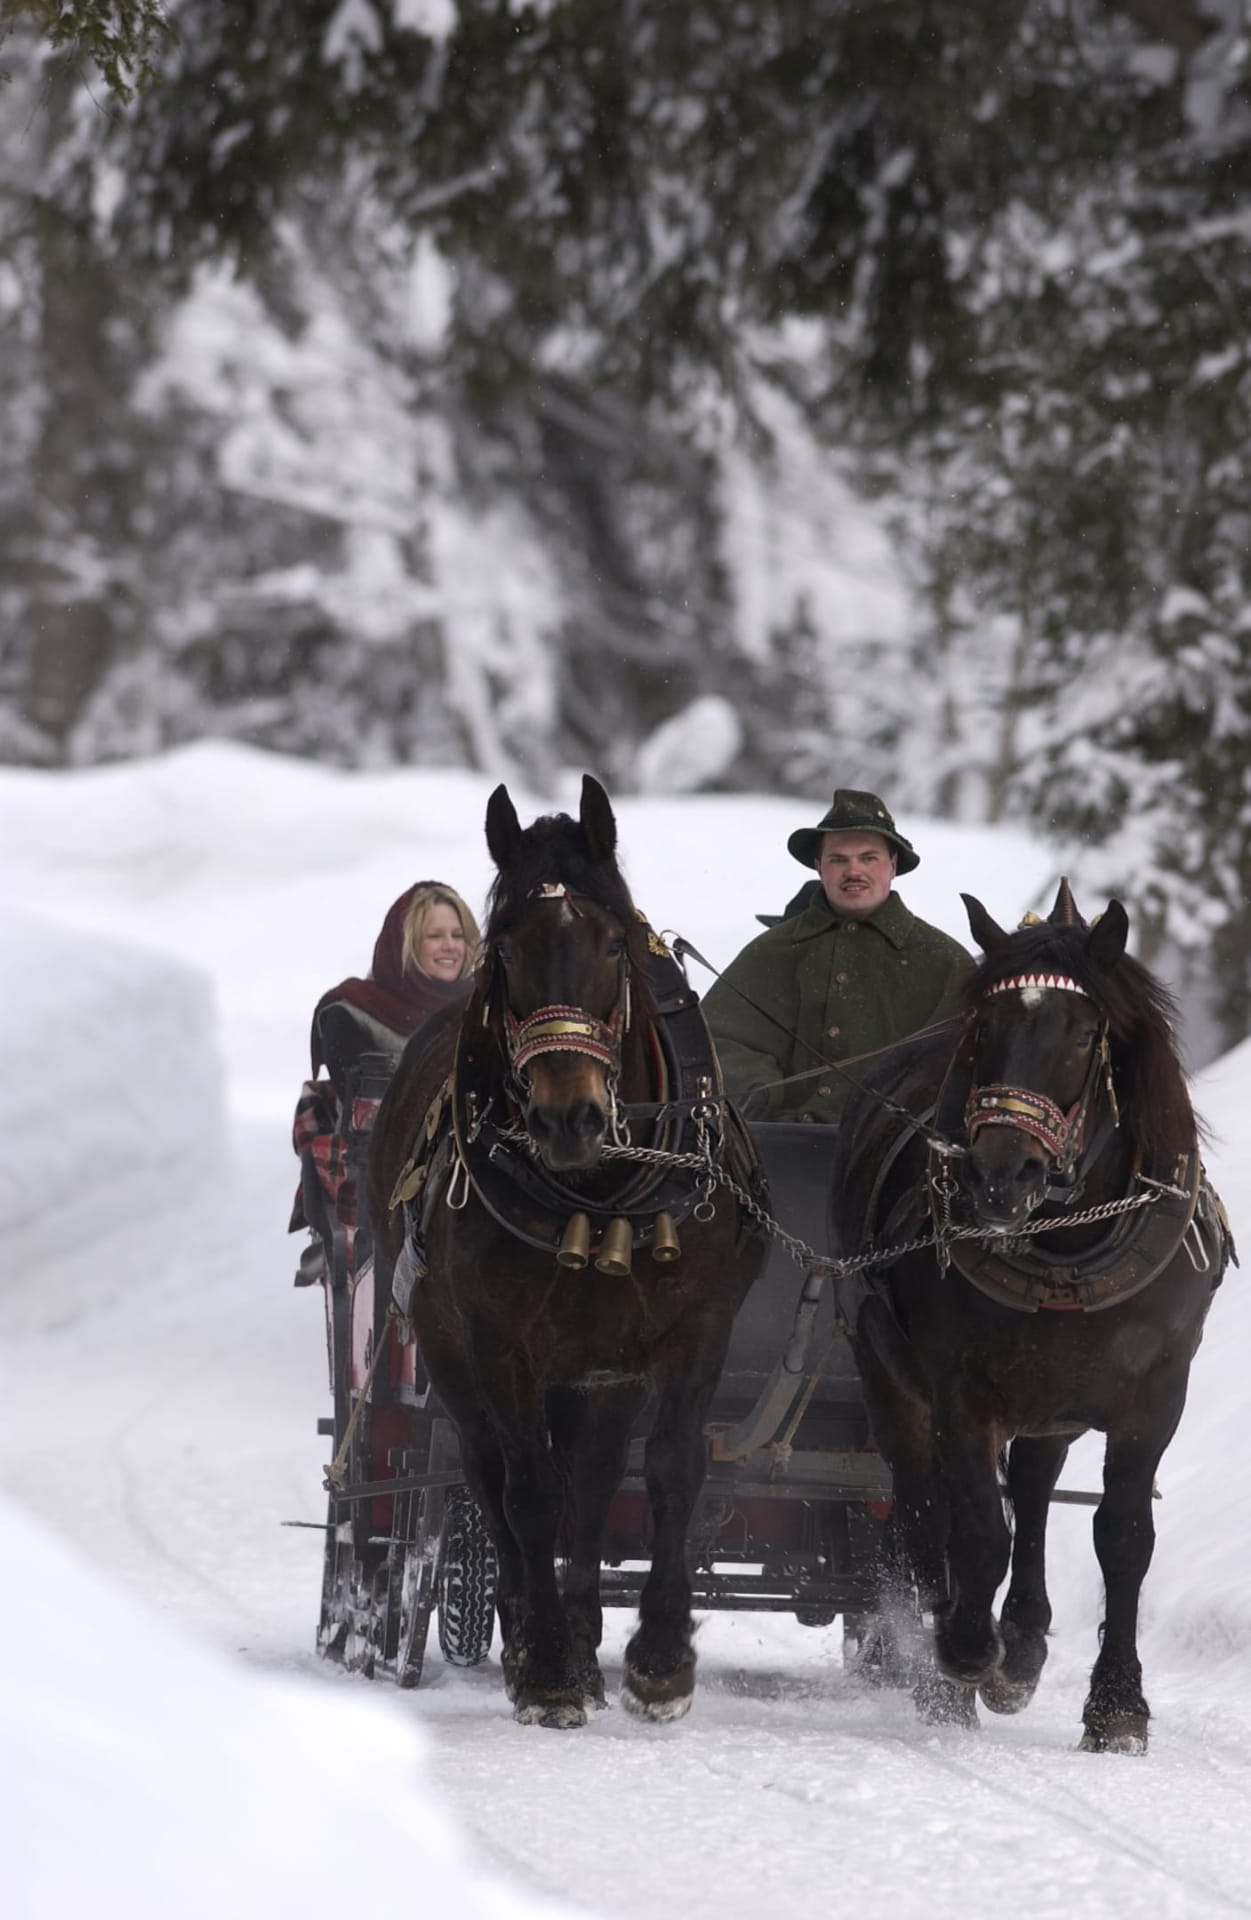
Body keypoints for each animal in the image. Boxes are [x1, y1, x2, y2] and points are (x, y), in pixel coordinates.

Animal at [369, 776, 767, 1727]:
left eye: (612, 944)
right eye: (505, 949)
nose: (567, 1116)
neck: (597, 1189)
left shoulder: (694, 1330)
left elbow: (668, 1469)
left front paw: (659, 1660)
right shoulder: (499, 1341)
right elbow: (527, 1492)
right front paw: (545, 1665)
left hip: (600, 1369)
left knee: (592, 1480)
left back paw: (587, 1639)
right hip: (450, 1350)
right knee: (493, 1479)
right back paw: (531, 1635)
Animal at [829, 879, 1231, 1752]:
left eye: (1084, 1034)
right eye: (984, 1027)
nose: (999, 1174)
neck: (1067, 1238)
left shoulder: (1155, 1393)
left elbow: (1122, 1536)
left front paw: (1114, 1706)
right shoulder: (960, 1390)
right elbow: (979, 1529)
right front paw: (962, 1654)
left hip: (1052, 1400)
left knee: (1036, 1489)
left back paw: (1021, 1641)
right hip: (886, 1371)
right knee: (924, 1513)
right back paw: (942, 1661)